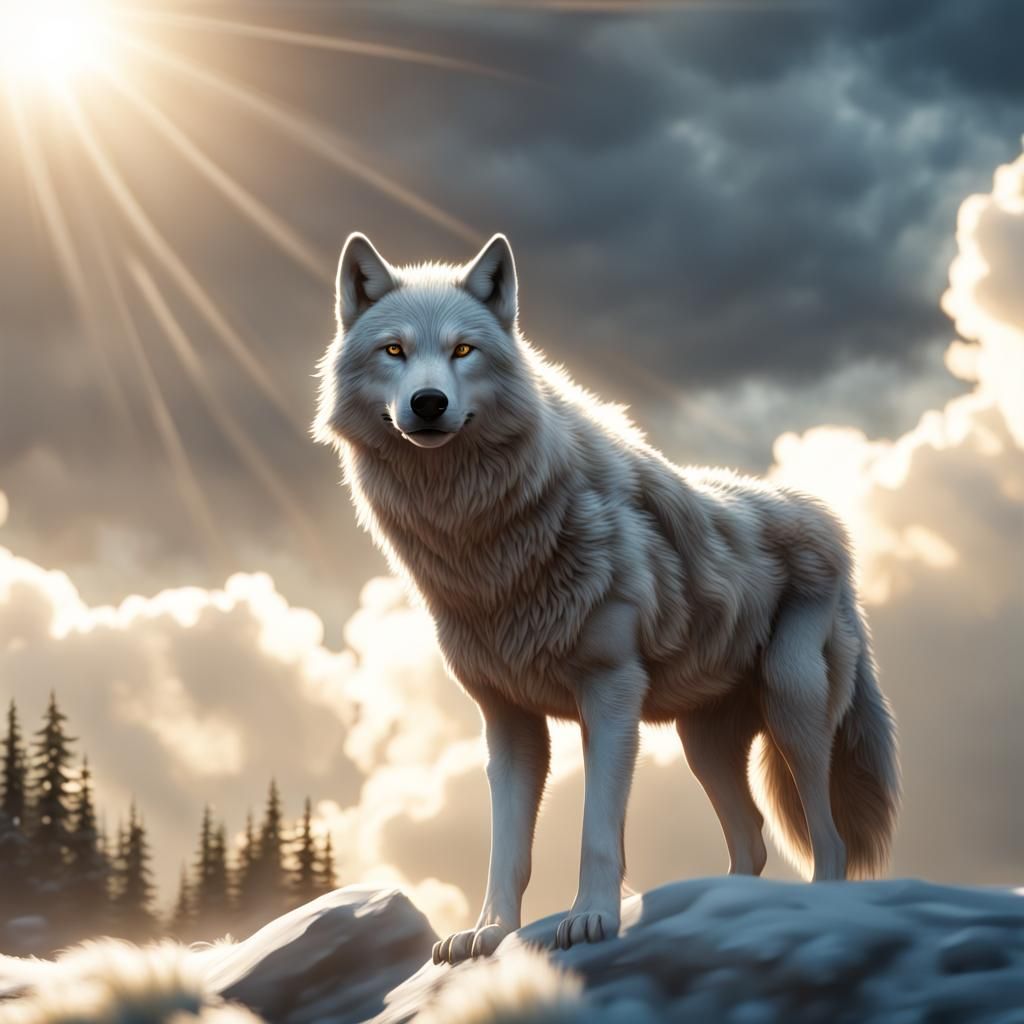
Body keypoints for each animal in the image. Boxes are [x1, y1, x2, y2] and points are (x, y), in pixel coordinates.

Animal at [314, 233, 900, 965]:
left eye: (463, 350)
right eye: (393, 350)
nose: (426, 403)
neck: (483, 543)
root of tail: (828, 522)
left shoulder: (612, 695)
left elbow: (597, 831)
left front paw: (592, 918)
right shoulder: (507, 721)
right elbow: (507, 848)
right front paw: (489, 932)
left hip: (793, 710)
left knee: (829, 838)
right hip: (704, 744)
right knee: (752, 839)